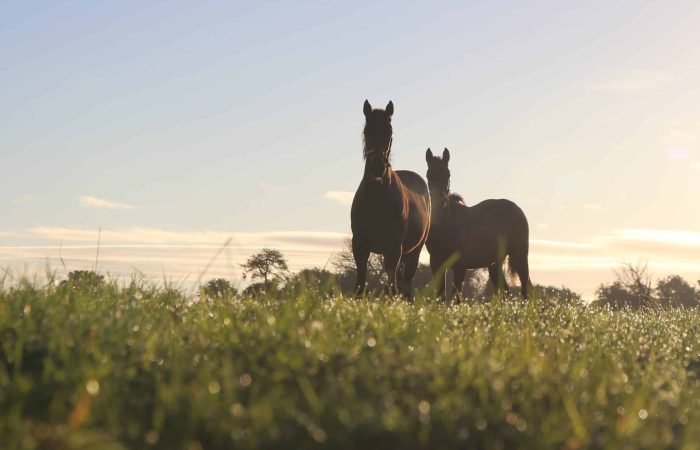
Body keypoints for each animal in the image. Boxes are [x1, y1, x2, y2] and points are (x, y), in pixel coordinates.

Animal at [350, 100, 431, 298]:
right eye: (366, 131)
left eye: (390, 132)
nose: (377, 167)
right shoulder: (359, 246)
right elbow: (359, 286)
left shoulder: (393, 248)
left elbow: (392, 288)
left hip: (413, 253)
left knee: (405, 284)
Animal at [425, 148, 532, 300]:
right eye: (428, 175)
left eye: (448, 174)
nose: (440, 203)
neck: (447, 224)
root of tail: (517, 209)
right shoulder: (436, 263)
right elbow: (441, 294)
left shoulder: (459, 266)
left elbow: (455, 296)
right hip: (495, 263)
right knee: (504, 290)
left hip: (519, 255)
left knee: (526, 288)